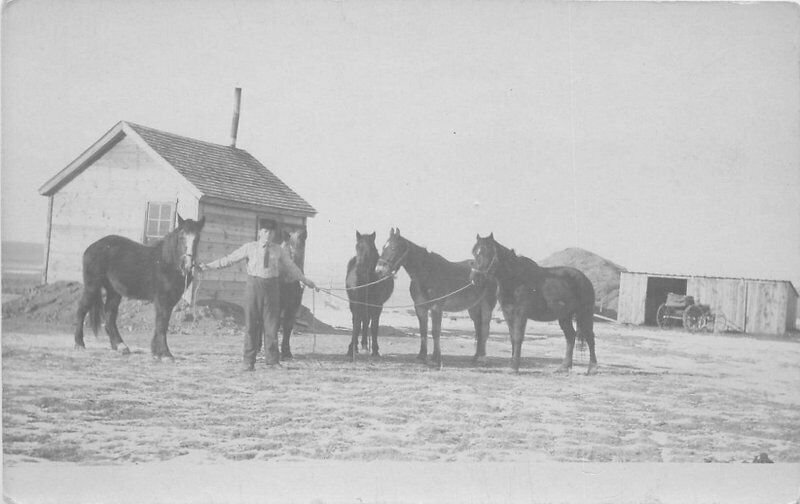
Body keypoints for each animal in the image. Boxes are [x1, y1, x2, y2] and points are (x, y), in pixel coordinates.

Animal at [74, 215, 206, 360]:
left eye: (197, 238)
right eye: (181, 236)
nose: (187, 265)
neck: (167, 262)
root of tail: (92, 247)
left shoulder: (171, 300)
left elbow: (162, 323)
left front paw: (157, 352)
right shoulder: (162, 299)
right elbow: (162, 323)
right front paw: (165, 353)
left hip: (114, 291)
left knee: (109, 315)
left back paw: (120, 346)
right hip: (92, 287)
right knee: (82, 310)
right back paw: (79, 344)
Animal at [344, 230, 394, 360]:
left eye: (371, 248)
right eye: (357, 246)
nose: (360, 270)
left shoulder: (377, 306)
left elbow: (374, 327)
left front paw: (375, 350)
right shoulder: (357, 304)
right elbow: (356, 325)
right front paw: (351, 348)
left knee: (366, 322)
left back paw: (365, 345)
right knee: (360, 321)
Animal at [374, 227, 494, 366]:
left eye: (393, 248)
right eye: (383, 247)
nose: (379, 270)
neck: (427, 273)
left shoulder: (436, 307)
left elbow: (435, 332)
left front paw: (436, 358)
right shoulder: (420, 307)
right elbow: (423, 331)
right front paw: (421, 356)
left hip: (486, 306)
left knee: (484, 329)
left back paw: (482, 358)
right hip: (474, 308)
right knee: (478, 329)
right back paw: (476, 356)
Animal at [472, 234, 596, 372]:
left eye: (488, 252)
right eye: (474, 252)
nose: (475, 277)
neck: (515, 278)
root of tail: (585, 279)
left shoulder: (521, 313)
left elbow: (518, 337)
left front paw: (514, 367)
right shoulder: (508, 314)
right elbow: (512, 337)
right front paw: (511, 364)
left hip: (585, 314)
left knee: (590, 337)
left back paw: (592, 368)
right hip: (565, 316)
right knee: (571, 336)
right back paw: (564, 367)